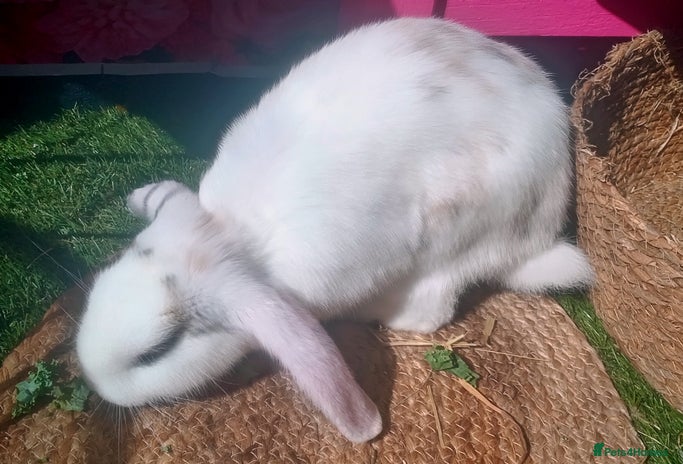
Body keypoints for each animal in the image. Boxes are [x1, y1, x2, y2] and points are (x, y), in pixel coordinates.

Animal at [76, 17, 594, 443]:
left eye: (156, 352)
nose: (96, 383)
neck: (232, 239)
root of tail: (537, 234)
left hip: (454, 233)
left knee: (430, 310)